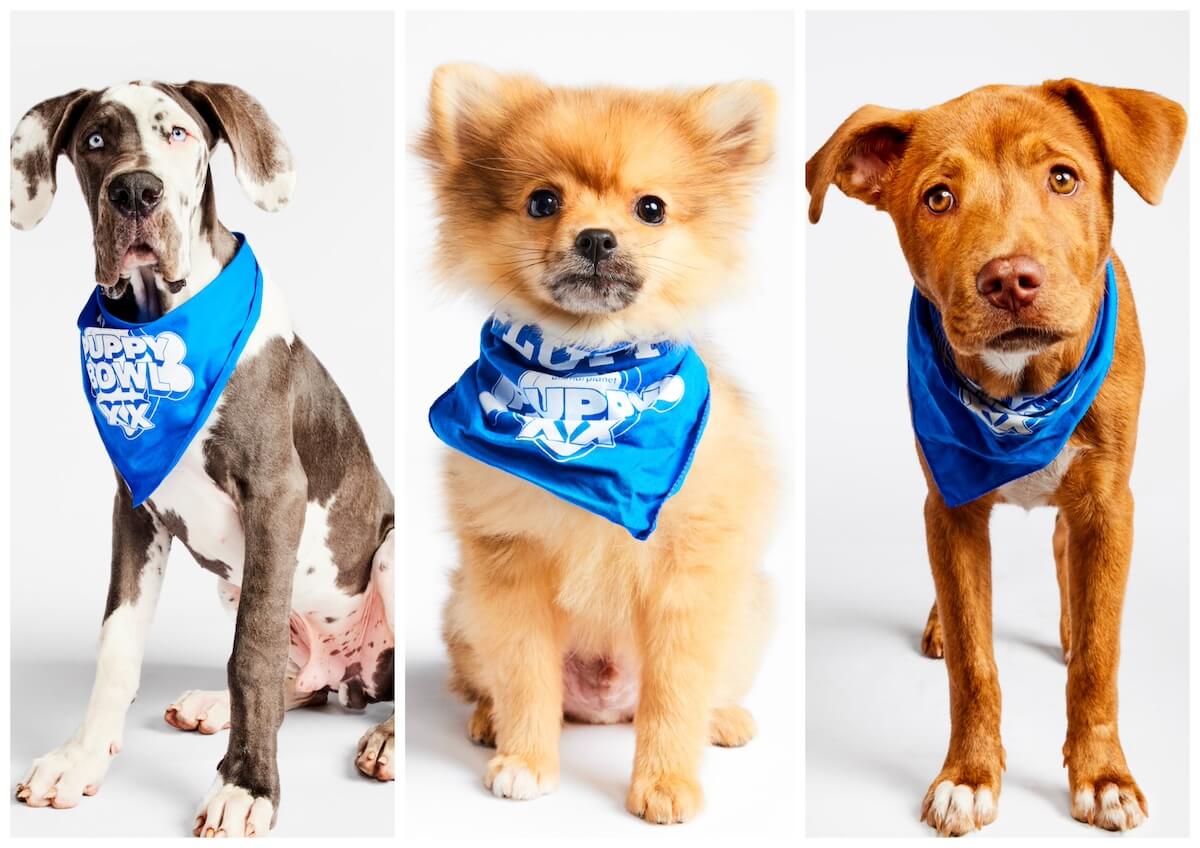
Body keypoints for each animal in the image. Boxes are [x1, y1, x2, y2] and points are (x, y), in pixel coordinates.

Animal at [10, 79, 393, 834]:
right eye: (95, 139)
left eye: (179, 133)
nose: (135, 192)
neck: (160, 327)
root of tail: (352, 677)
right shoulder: (135, 505)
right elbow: (118, 642)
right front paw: (81, 758)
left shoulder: (275, 496)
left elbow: (252, 651)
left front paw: (247, 786)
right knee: (304, 683)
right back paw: (221, 706)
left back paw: (387, 738)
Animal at [811, 81, 1185, 834]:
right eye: (938, 198)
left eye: (1063, 178)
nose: (1010, 279)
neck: (1021, 393)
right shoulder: (950, 507)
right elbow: (973, 660)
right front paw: (968, 776)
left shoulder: (1110, 504)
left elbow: (1100, 657)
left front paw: (1104, 777)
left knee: (1066, 553)